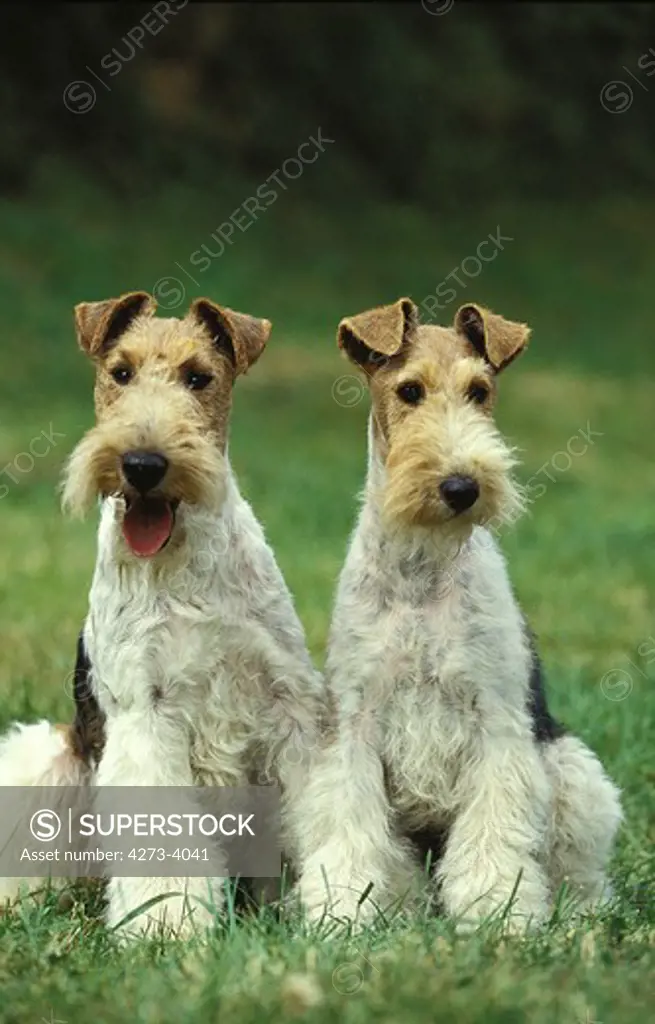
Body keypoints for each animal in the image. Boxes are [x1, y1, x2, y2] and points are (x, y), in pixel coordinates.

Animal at [0, 290, 325, 937]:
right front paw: (167, 925)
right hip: (50, 758)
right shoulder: (144, 715)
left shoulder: (290, 705)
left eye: (198, 377)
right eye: (120, 372)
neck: (182, 561)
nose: (143, 464)